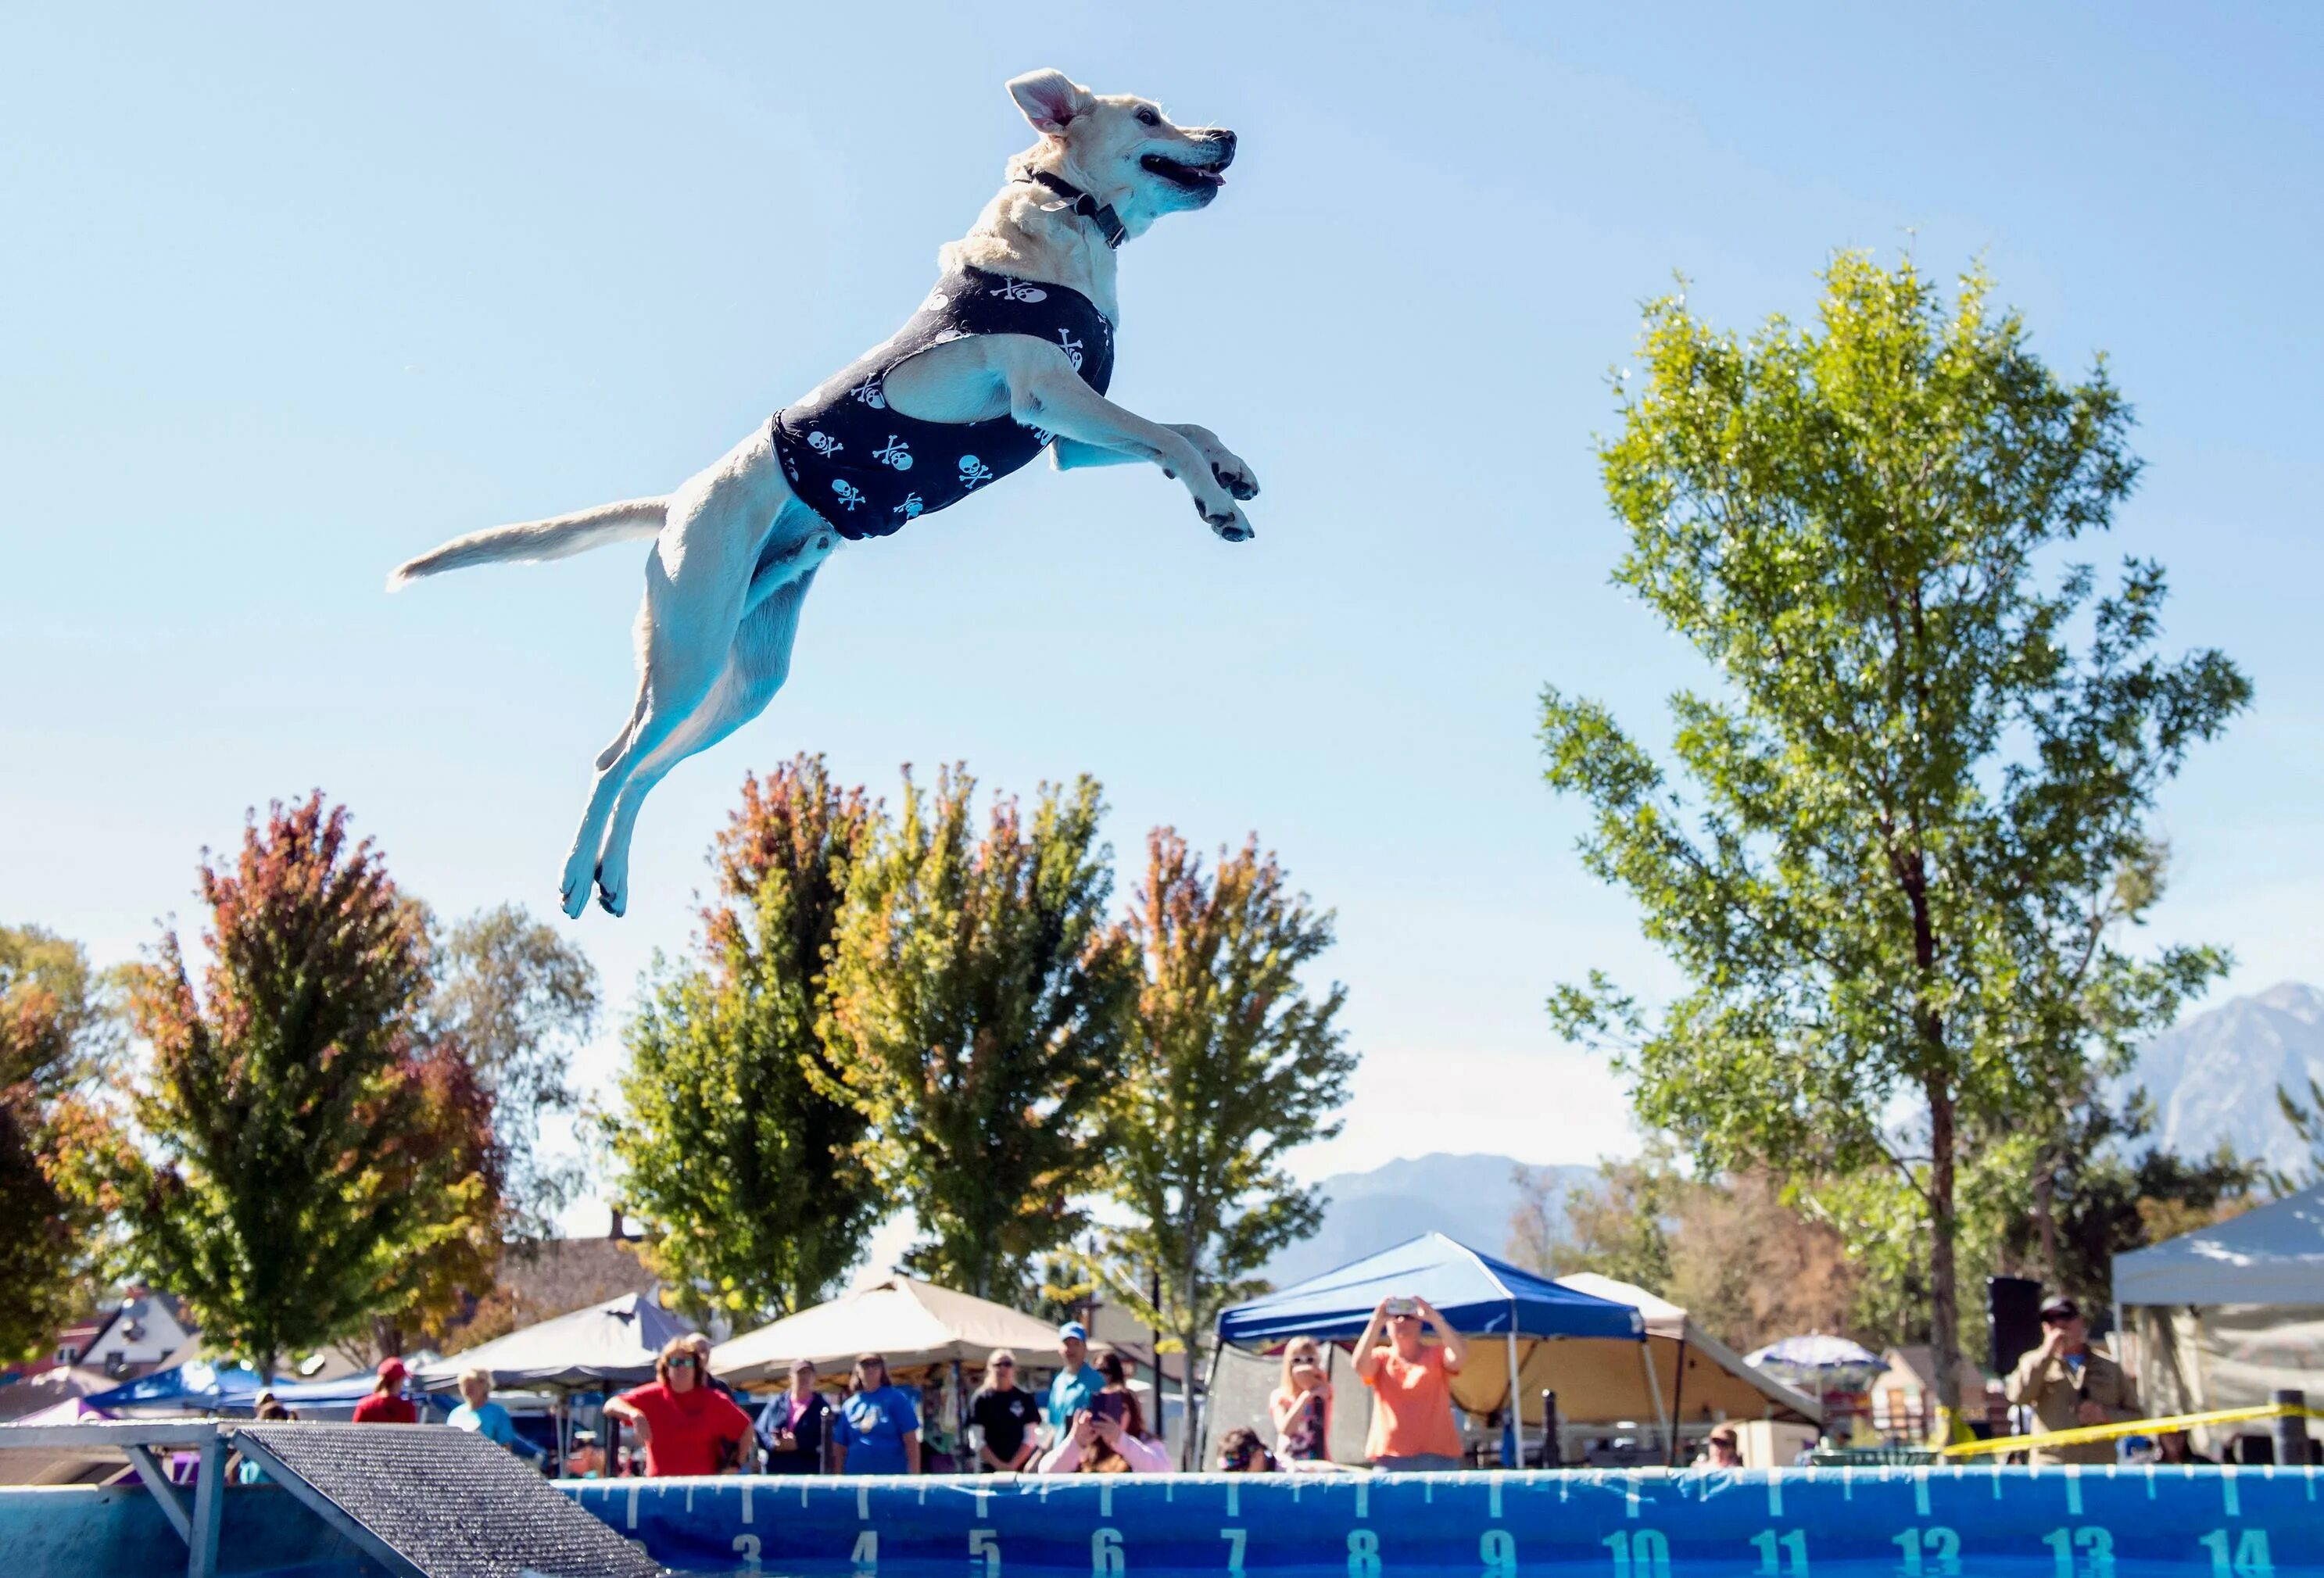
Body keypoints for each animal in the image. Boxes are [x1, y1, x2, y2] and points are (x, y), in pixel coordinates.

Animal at [395, 70, 1255, 915]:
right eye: (1147, 116)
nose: (1228, 135)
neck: (1070, 213)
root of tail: (677, 502)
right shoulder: (1052, 397)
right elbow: (1171, 435)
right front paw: (1218, 505)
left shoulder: (1068, 440)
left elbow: (1185, 430)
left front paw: (1229, 474)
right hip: (690, 647)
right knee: (615, 761)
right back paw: (577, 876)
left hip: (746, 677)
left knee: (646, 767)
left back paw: (614, 878)